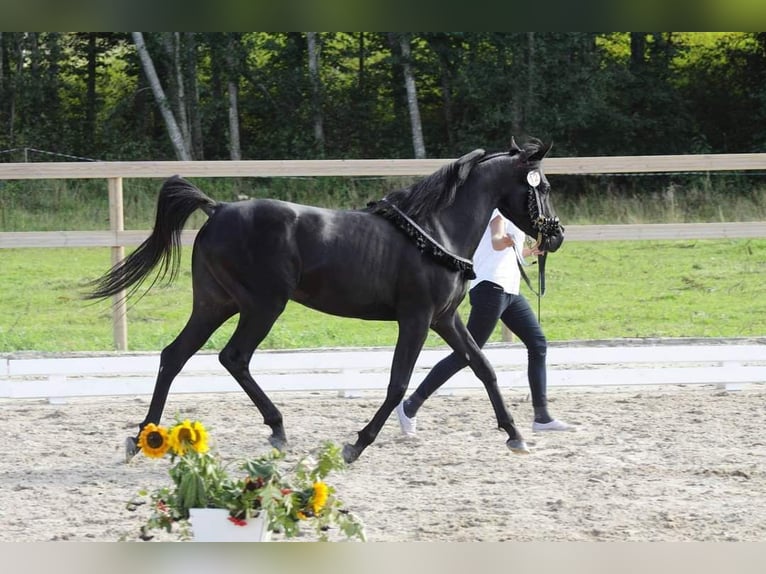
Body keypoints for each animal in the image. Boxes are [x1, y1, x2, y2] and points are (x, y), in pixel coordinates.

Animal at [87, 138, 564, 464]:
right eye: (541, 186)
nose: (556, 235)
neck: (436, 229)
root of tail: (218, 209)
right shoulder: (416, 318)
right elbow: (398, 383)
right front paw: (357, 444)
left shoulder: (444, 318)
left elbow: (481, 367)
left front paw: (515, 434)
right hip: (262, 306)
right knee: (233, 357)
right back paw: (276, 428)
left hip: (215, 303)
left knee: (175, 355)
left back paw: (143, 436)